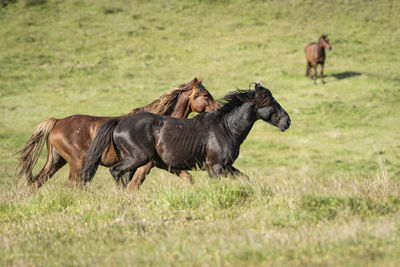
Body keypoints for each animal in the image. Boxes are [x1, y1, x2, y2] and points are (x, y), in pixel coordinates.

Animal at [16, 78, 219, 189]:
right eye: (205, 95)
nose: (219, 109)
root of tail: (57, 121)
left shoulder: (162, 164)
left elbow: (189, 178)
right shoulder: (144, 166)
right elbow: (134, 187)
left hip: (56, 161)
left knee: (37, 183)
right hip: (77, 164)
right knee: (72, 186)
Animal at [80, 84, 290, 191]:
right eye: (271, 102)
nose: (287, 121)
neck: (226, 128)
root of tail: (120, 122)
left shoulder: (226, 166)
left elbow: (245, 178)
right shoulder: (215, 167)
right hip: (139, 158)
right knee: (115, 172)